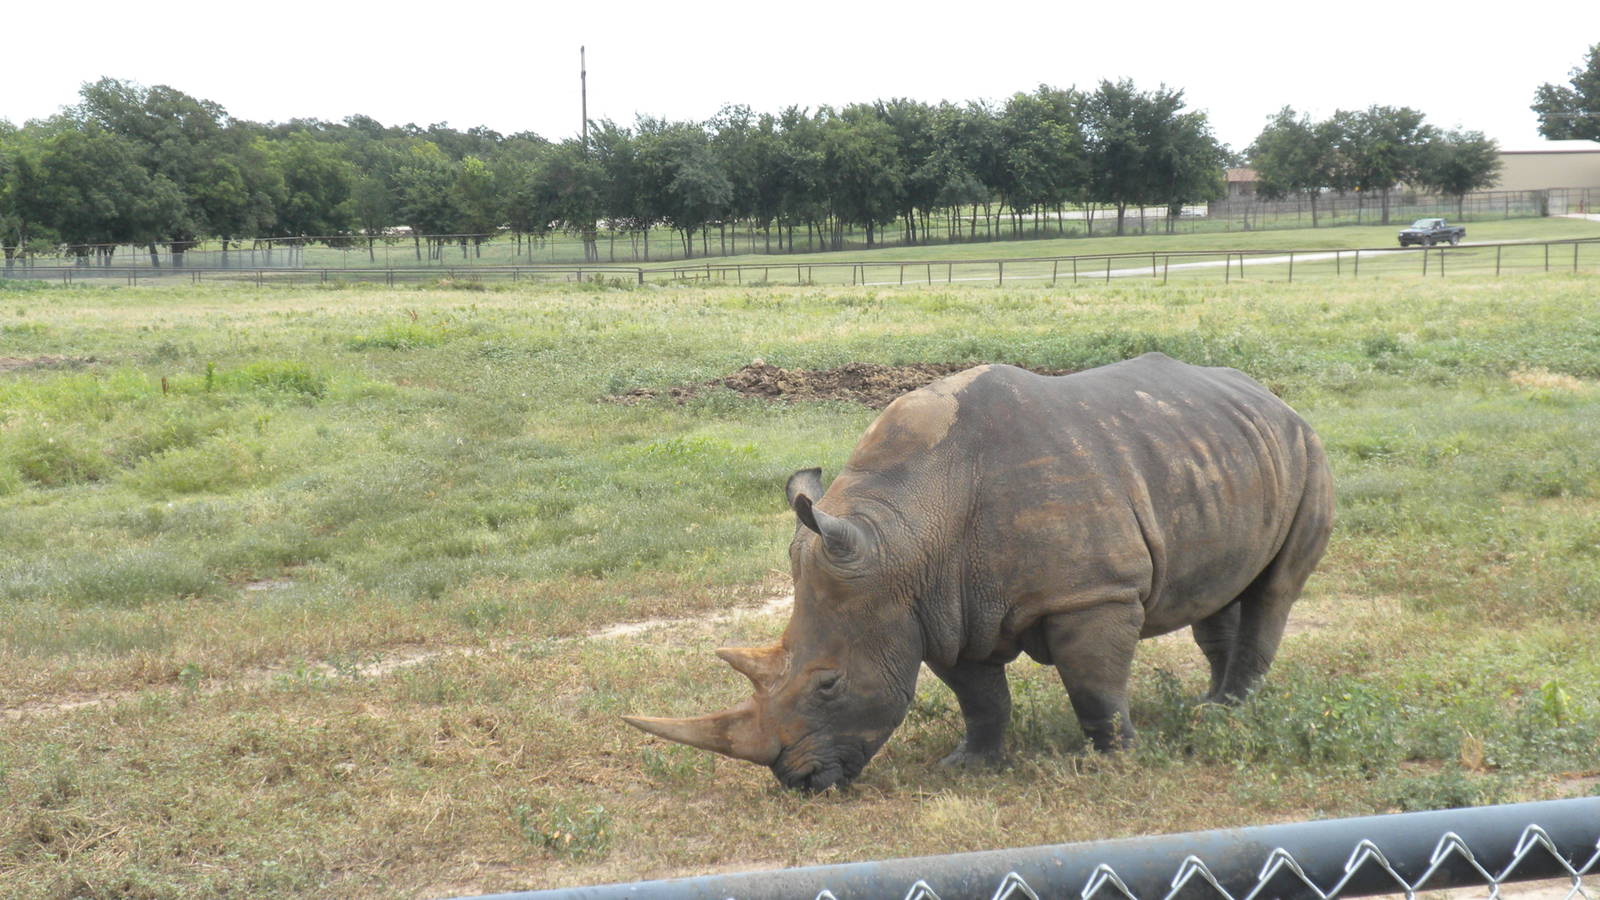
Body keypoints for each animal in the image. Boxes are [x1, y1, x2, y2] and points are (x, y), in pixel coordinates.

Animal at [625, 353, 1333, 792]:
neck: (904, 532)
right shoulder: (938, 609)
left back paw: (1228, 716)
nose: (798, 782)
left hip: (1307, 451)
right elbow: (981, 697)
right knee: (1223, 590)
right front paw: (966, 767)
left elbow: (1094, 688)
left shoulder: (1092, 594)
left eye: (828, 685)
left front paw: (1113, 764)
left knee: (1274, 591)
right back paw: (1209, 708)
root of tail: (1273, 399)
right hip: (1221, 451)